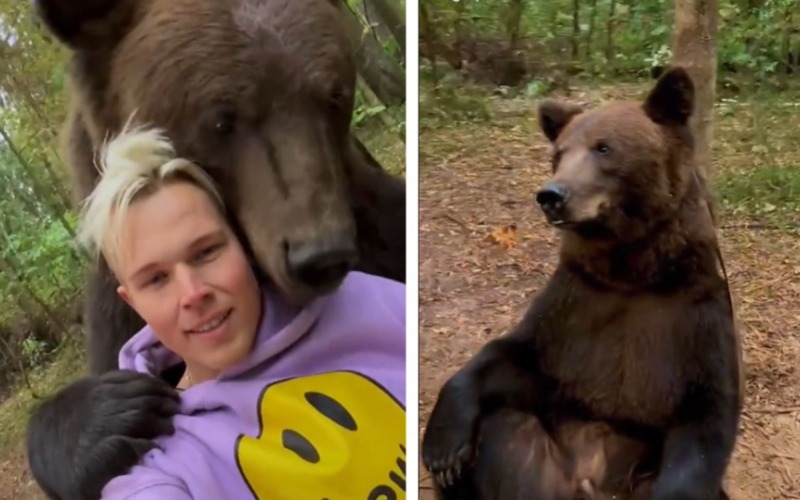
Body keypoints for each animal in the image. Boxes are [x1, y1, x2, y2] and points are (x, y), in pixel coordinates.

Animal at [421, 66, 743, 500]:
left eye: (603, 148)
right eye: (558, 153)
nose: (551, 195)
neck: (630, 272)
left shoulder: (691, 319)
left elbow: (706, 417)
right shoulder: (574, 307)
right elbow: (516, 357)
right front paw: (443, 447)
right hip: (536, 462)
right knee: (501, 428)